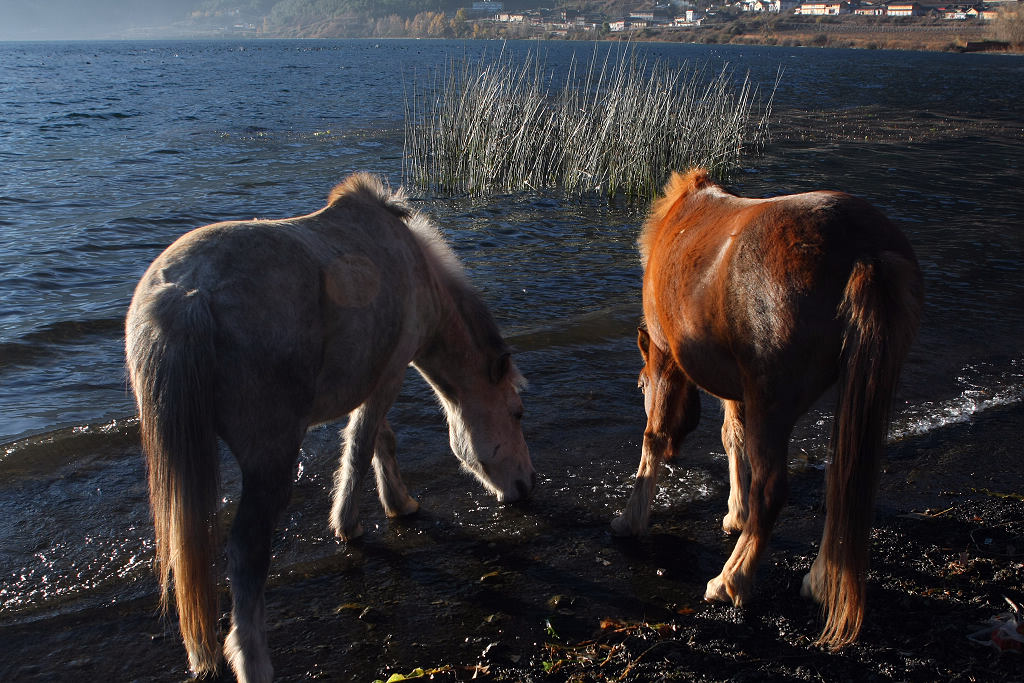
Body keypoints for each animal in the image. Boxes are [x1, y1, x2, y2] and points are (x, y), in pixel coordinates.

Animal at [125, 175, 536, 683]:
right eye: (517, 412)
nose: (528, 484)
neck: (414, 264)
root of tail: (185, 297)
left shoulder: (371, 378)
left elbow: (377, 442)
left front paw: (396, 505)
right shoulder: (389, 373)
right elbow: (364, 445)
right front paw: (361, 520)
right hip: (270, 457)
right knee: (246, 553)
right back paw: (254, 662)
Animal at [610, 167, 925, 651]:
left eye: (640, 385)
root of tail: (864, 249)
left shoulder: (666, 357)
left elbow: (654, 437)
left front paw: (631, 520)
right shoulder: (737, 384)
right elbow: (731, 435)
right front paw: (736, 513)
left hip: (772, 407)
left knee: (773, 490)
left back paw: (730, 582)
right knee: (843, 478)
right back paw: (820, 580)